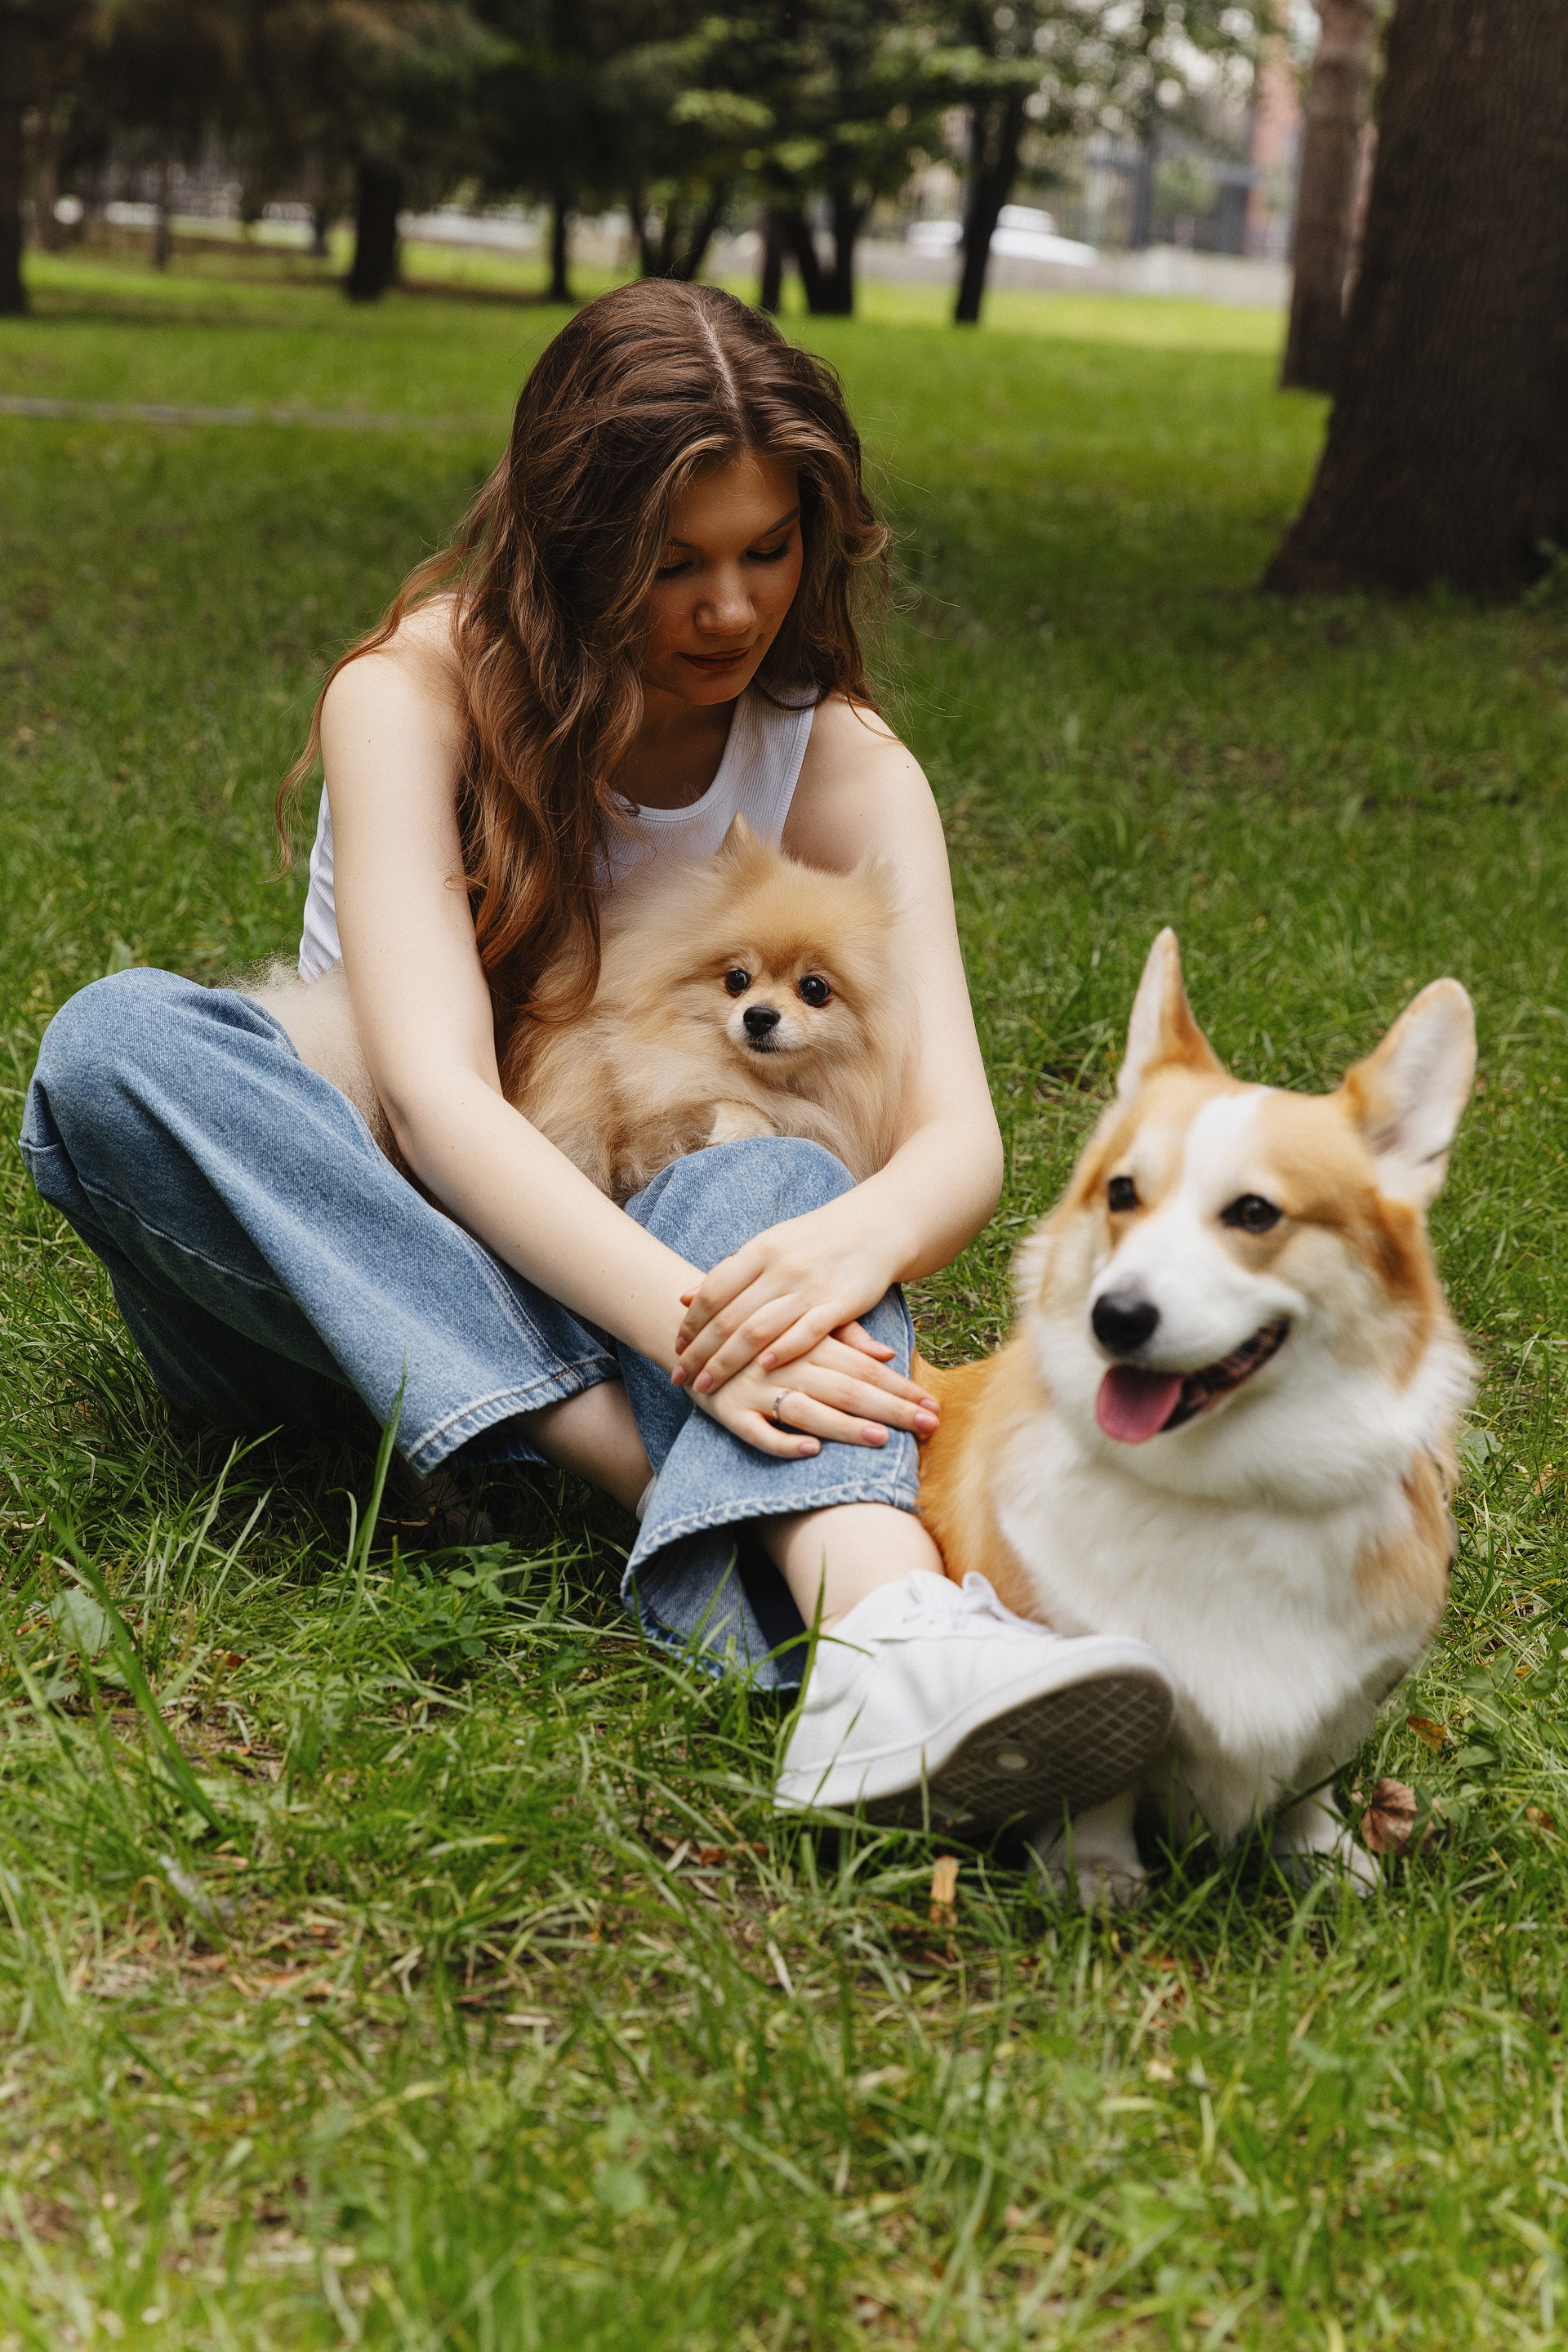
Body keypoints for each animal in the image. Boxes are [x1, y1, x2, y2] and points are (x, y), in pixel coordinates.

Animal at [249, 817, 913, 1203]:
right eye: (737, 979)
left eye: (815, 989)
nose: (759, 1017)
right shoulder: (633, 1116)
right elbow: (726, 1108)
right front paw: (736, 1124)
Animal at [915, 929, 1475, 1905]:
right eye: (1121, 1194)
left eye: (1254, 1213)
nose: (1115, 1317)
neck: (1226, 1490)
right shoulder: (1080, 1652)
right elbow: (1107, 1773)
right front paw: (1096, 1872)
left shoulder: (1356, 1691)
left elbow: (1312, 1780)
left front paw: (1320, 1858)